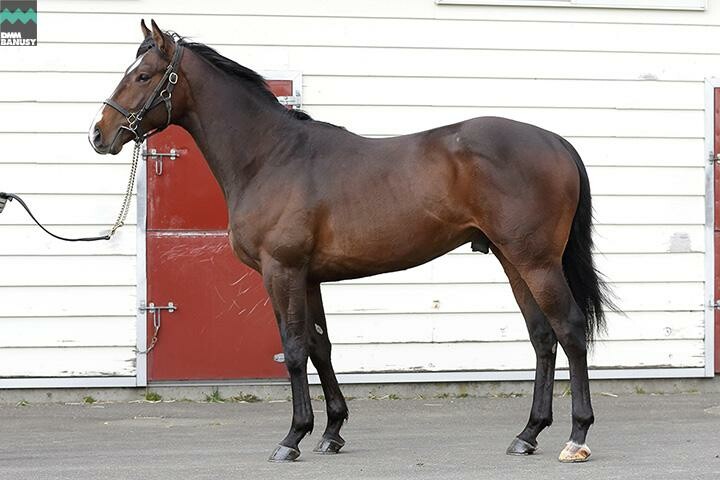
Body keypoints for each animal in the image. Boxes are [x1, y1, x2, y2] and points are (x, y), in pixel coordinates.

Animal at [90, 19, 613, 463]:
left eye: (143, 75)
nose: (99, 134)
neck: (271, 156)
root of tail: (555, 141)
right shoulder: (309, 277)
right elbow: (320, 347)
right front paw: (331, 432)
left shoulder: (281, 272)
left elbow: (294, 349)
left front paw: (292, 437)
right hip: (511, 258)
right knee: (542, 336)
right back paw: (528, 434)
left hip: (536, 260)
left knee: (569, 330)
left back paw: (576, 437)